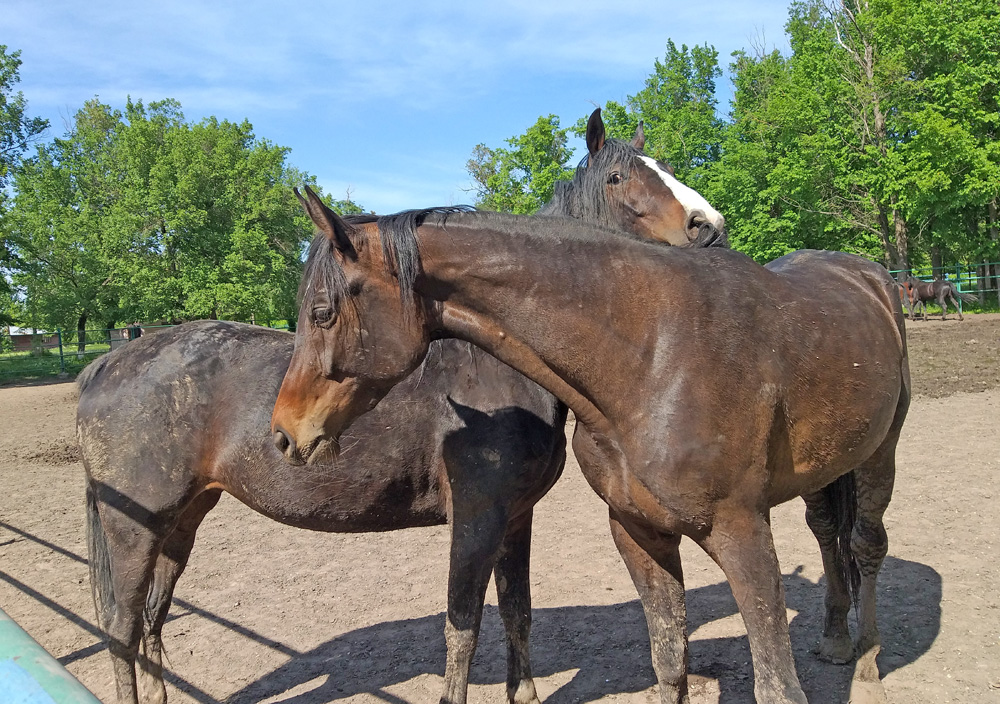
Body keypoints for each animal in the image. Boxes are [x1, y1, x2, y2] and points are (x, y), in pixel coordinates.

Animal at [78, 106, 728, 704]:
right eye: (619, 177)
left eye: (666, 168)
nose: (709, 227)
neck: (493, 373)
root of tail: (107, 363)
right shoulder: (477, 518)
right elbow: (462, 629)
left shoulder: (516, 518)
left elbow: (517, 613)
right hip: (134, 527)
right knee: (122, 628)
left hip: (182, 520)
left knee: (153, 619)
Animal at [272, 191, 908, 704]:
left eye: (321, 312)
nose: (284, 431)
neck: (652, 355)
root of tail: (871, 278)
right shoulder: (638, 531)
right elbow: (669, 659)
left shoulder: (742, 532)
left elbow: (776, 682)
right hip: (826, 469)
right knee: (828, 534)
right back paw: (835, 639)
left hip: (880, 455)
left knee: (865, 544)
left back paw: (868, 658)